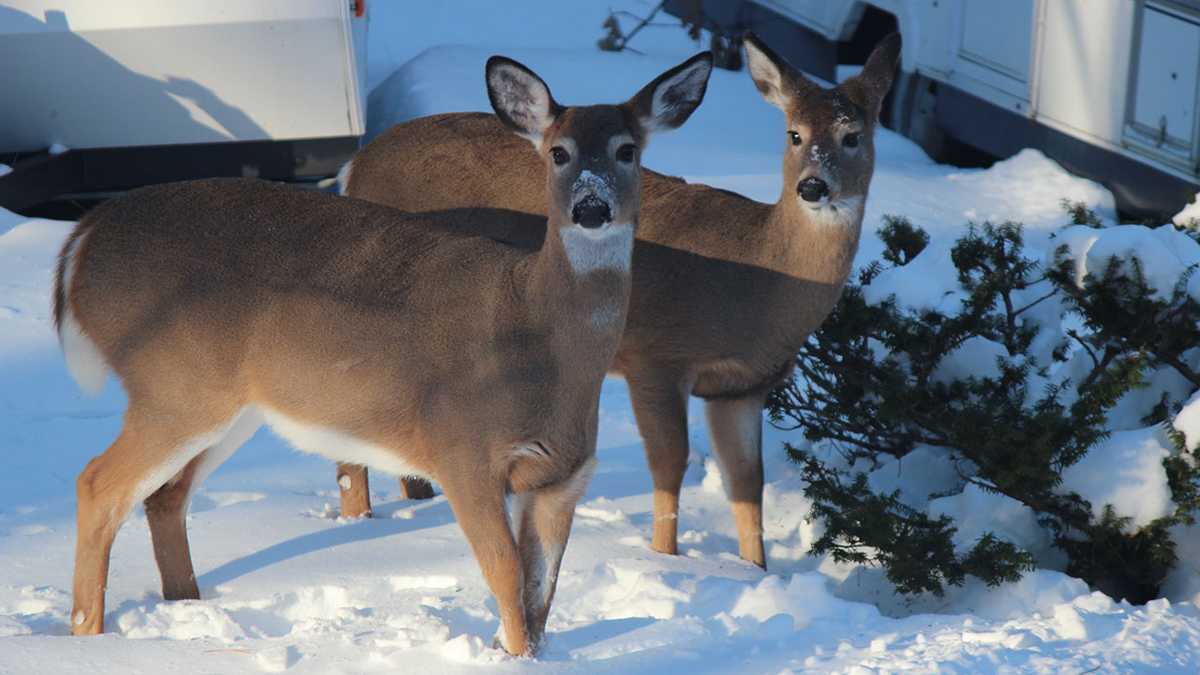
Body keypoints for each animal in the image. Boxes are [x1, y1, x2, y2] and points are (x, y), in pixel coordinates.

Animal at [54, 52, 713, 656]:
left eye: (628, 150)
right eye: (558, 152)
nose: (591, 208)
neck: (535, 338)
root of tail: (82, 239)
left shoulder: (564, 477)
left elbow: (541, 594)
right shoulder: (461, 450)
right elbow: (505, 577)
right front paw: (512, 655)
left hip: (230, 406)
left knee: (163, 495)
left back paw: (183, 611)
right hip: (174, 384)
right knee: (97, 483)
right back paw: (88, 637)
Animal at [333, 33, 901, 570]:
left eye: (853, 136)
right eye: (794, 134)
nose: (813, 186)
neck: (757, 281)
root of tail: (356, 164)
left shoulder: (742, 388)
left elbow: (747, 483)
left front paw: (755, 571)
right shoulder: (656, 357)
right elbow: (670, 465)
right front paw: (665, 558)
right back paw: (361, 521)